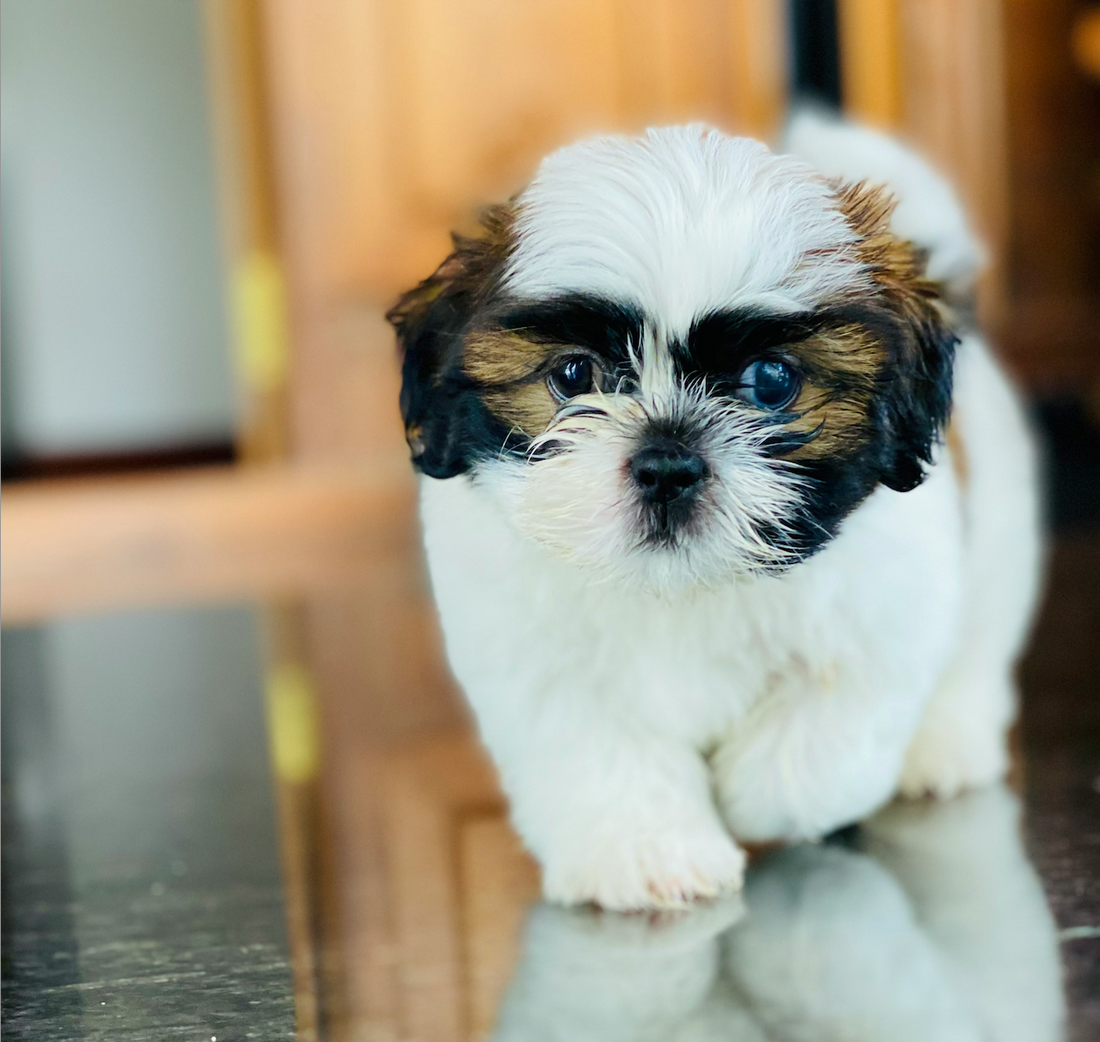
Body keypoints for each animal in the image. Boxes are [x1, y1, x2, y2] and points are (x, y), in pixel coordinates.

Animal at [387, 112, 1038, 911]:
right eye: (574, 375)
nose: (667, 464)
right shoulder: (535, 658)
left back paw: (946, 742)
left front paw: (747, 798)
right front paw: (647, 854)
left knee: (979, 640)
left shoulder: (885, 621)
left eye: (771, 381)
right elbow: (594, 750)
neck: (683, 589)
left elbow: (817, 746)